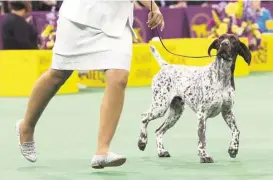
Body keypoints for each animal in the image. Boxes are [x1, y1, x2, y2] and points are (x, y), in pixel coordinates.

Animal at [137, 33, 250, 163]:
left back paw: (161, 151)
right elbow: (202, 138)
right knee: (144, 117)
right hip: (160, 107)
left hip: (176, 113)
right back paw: (142, 142)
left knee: (158, 131)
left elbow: (236, 131)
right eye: (220, 38)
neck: (222, 77)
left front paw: (233, 149)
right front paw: (204, 155)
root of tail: (166, 66)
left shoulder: (227, 112)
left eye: (233, 40)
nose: (224, 44)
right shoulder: (202, 115)